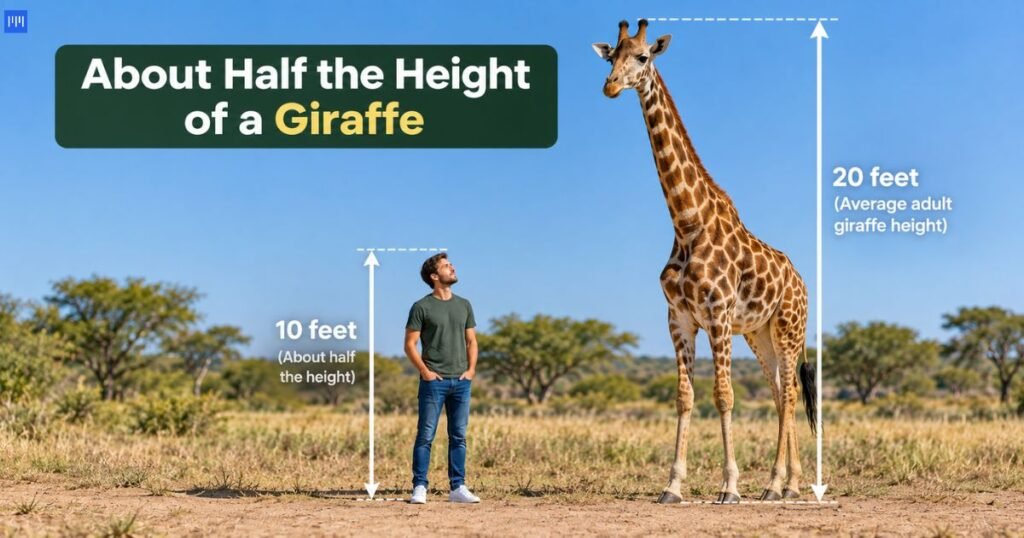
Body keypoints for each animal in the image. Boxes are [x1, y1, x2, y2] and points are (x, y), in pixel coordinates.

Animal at [593, 19, 817, 504]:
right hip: (758, 333)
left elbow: (724, 395)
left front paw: (730, 487)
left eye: (643, 57)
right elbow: (685, 396)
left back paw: (777, 484)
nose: (611, 86)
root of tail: (802, 282)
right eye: (610, 56)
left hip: (788, 328)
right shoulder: (679, 317)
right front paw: (672, 486)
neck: (686, 222)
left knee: (791, 393)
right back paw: (784, 484)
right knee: (779, 391)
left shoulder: (717, 314)